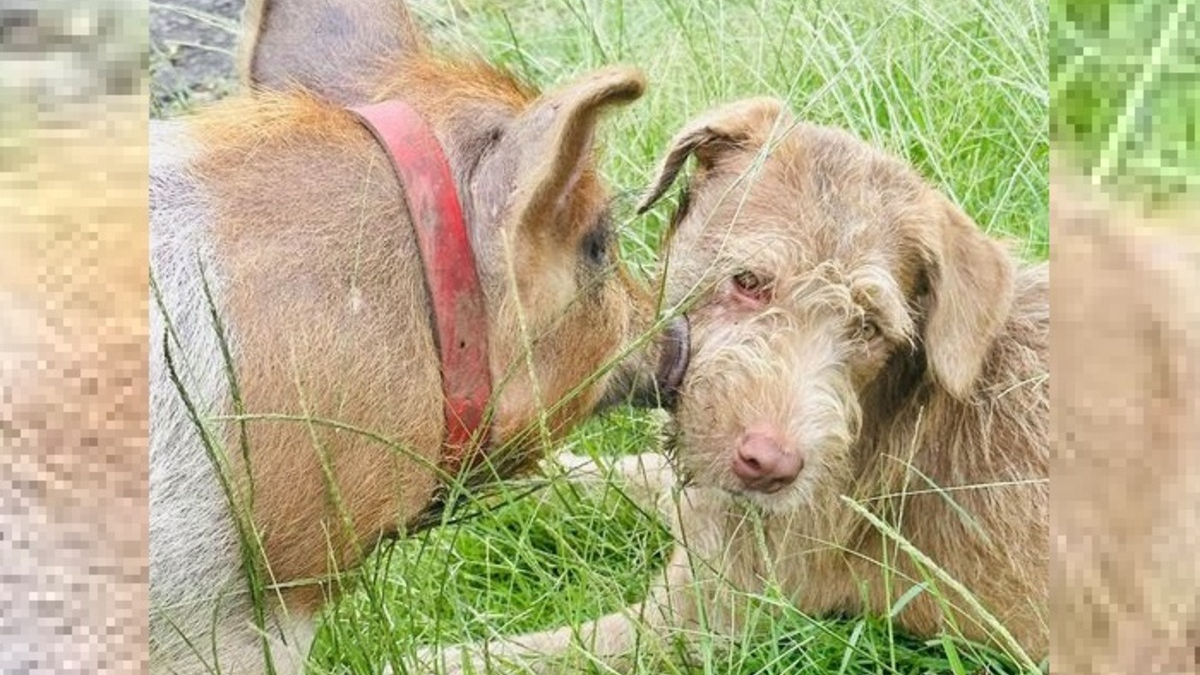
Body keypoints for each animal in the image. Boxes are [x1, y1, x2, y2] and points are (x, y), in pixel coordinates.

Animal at [434, 97, 1051, 667]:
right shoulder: (695, 493)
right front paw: (486, 476)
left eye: (868, 327)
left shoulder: (695, 623)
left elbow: (515, 655)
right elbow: (604, 471)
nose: (771, 466)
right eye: (749, 281)